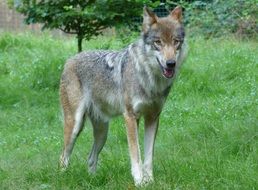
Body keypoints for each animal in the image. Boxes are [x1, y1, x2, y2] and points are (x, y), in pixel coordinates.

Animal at [59, 5, 186, 186]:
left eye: (176, 41)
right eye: (158, 42)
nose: (171, 64)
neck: (149, 78)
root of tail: (70, 59)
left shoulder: (153, 117)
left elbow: (148, 157)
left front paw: (150, 181)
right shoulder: (131, 117)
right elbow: (136, 155)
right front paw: (139, 182)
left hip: (102, 132)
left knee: (90, 158)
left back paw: (93, 180)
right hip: (75, 126)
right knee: (63, 157)